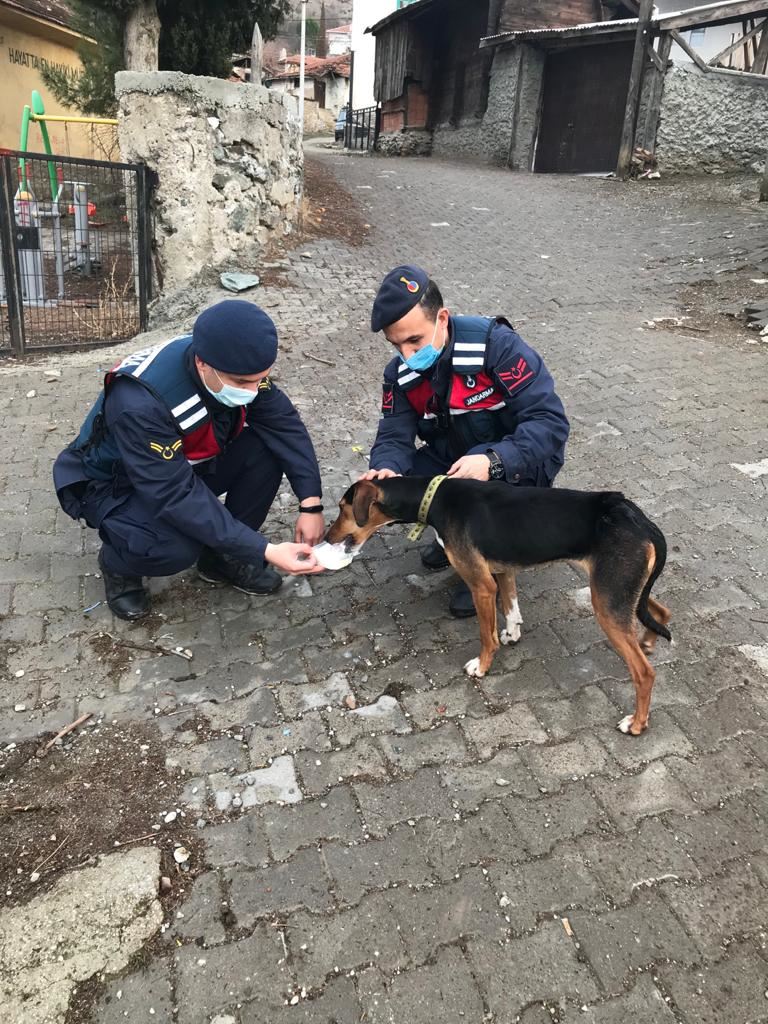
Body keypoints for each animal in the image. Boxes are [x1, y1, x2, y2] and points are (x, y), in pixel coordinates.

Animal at [325, 477, 671, 737]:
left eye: (343, 508)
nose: (327, 536)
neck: (434, 497)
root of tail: (640, 521)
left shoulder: (481, 585)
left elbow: (485, 634)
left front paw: (482, 666)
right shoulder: (503, 571)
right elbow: (511, 608)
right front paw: (512, 634)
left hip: (608, 601)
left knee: (645, 673)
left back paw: (636, 723)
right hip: (623, 592)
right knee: (661, 613)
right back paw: (648, 642)